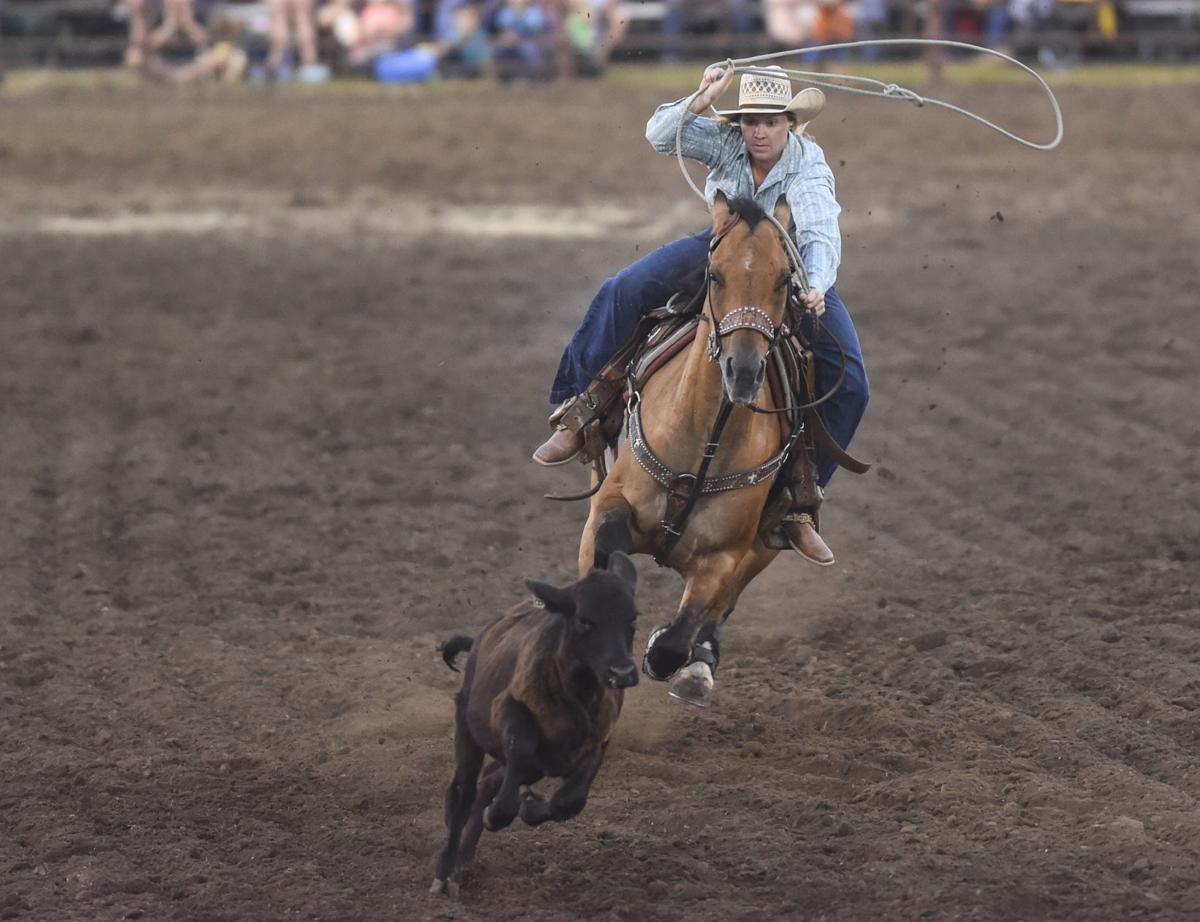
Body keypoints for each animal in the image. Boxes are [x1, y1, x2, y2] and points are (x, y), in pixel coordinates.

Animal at [429, 547, 638, 893]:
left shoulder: (598, 741)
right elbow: (518, 758)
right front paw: (497, 815)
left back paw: (463, 861)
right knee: (464, 790)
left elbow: (570, 801)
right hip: (468, 732)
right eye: (584, 620)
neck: (575, 695)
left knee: (488, 783)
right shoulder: (510, 711)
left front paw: (529, 807)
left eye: (632, 620)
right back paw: (445, 871)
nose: (622, 673)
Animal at [578, 187, 820, 705]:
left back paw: (698, 666)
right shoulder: (609, 503)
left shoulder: (724, 556)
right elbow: (603, 553)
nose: (743, 371)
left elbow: (679, 634)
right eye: (715, 274)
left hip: (770, 542)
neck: (703, 442)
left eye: (784, 279)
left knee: (719, 610)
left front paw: (662, 653)